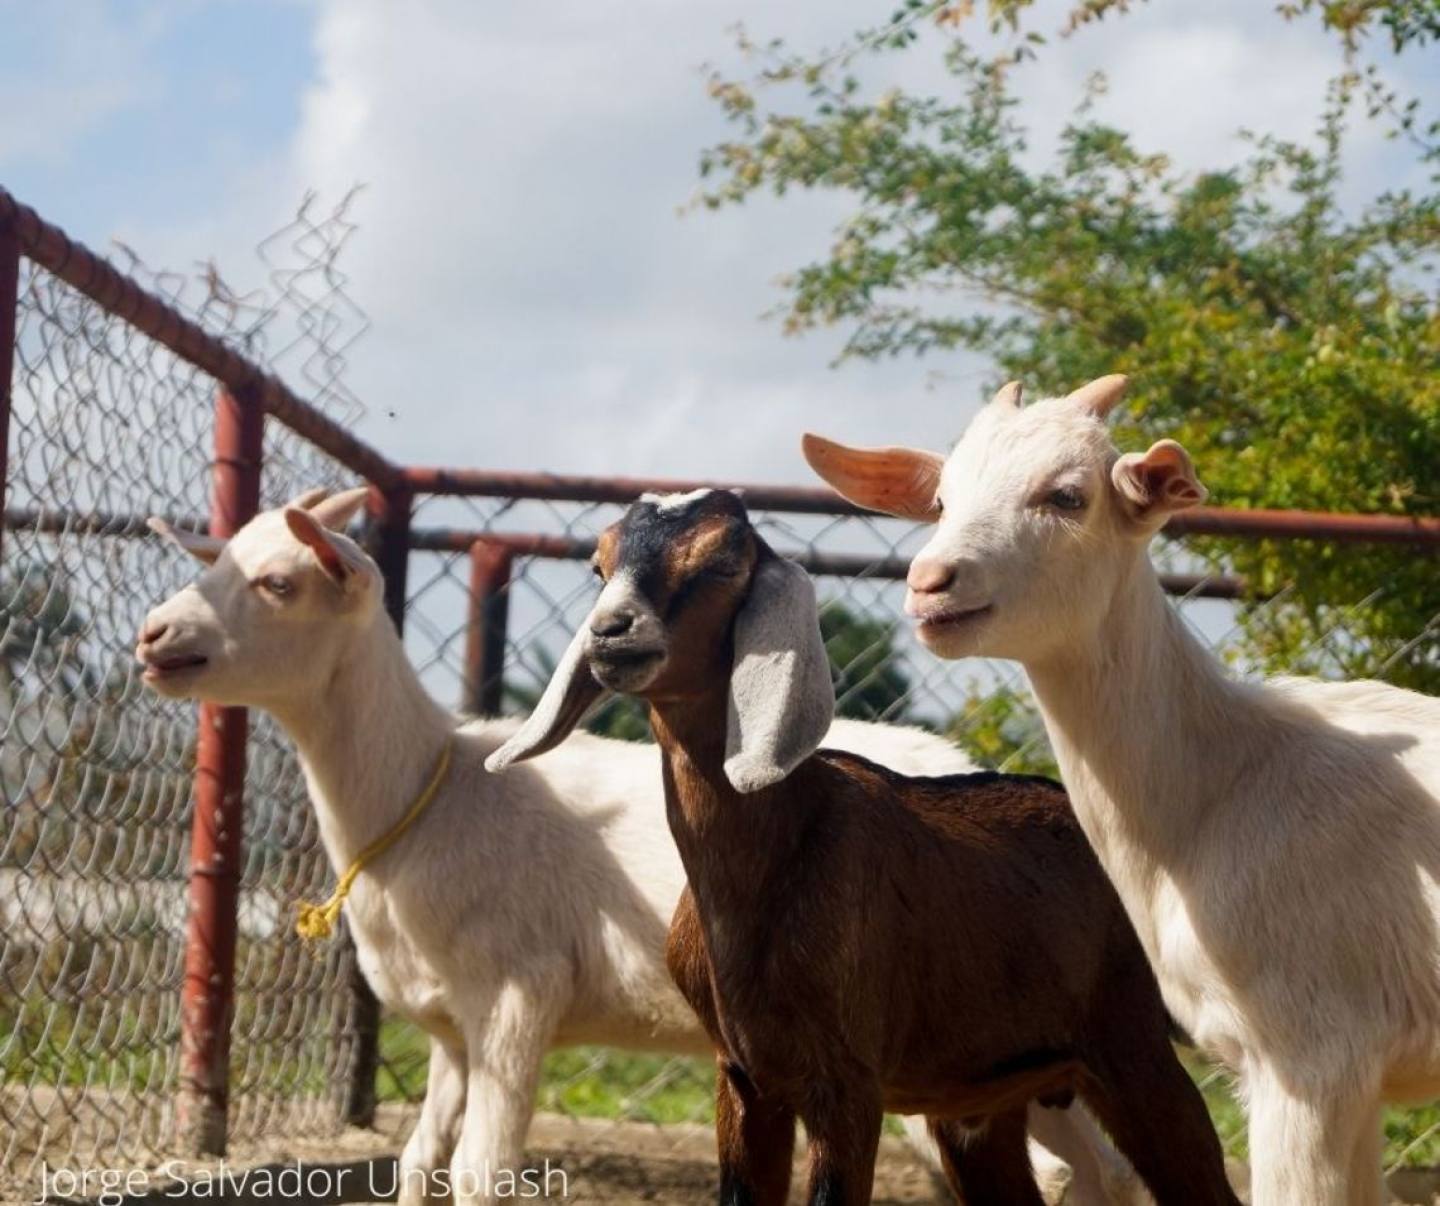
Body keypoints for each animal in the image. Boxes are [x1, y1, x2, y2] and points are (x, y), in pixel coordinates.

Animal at [136, 488, 1136, 1205]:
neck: (428, 790)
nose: (153, 636)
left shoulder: (518, 994)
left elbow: (480, 1175)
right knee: (1098, 1171)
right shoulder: (452, 1034)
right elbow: (419, 1167)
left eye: (279, 583)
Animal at [485, 487, 1238, 1206]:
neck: (776, 856)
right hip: (981, 1102)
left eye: (723, 563)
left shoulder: (847, 1085)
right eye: (600, 565)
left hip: (1133, 1048)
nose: (612, 633)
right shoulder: (744, 1078)